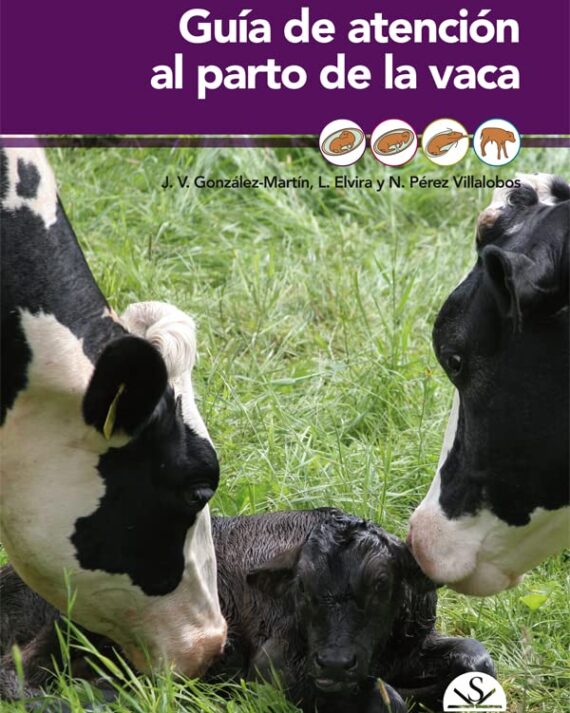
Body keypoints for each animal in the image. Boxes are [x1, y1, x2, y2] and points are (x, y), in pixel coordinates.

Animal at [1, 510, 495, 712]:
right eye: (303, 589)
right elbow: (387, 696)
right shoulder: (270, 669)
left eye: (381, 586)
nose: (335, 662)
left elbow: (476, 657)